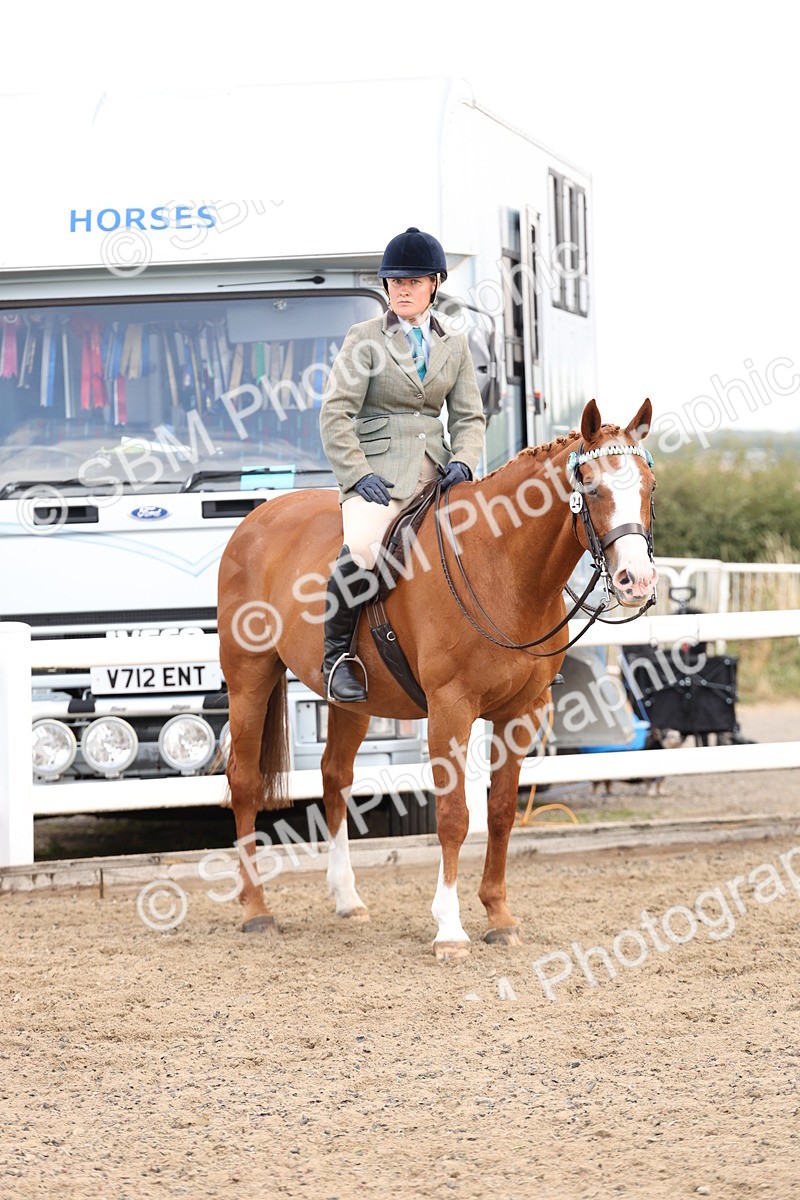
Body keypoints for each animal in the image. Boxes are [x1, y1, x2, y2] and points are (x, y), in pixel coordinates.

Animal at [216, 398, 658, 958]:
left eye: (649, 487)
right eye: (593, 487)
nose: (636, 582)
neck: (501, 565)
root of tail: (257, 517)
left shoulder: (522, 713)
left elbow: (500, 813)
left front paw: (499, 916)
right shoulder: (451, 708)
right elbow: (454, 816)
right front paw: (449, 927)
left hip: (351, 702)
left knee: (335, 777)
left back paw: (347, 899)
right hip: (248, 678)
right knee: (245, 782)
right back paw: (256, 909)